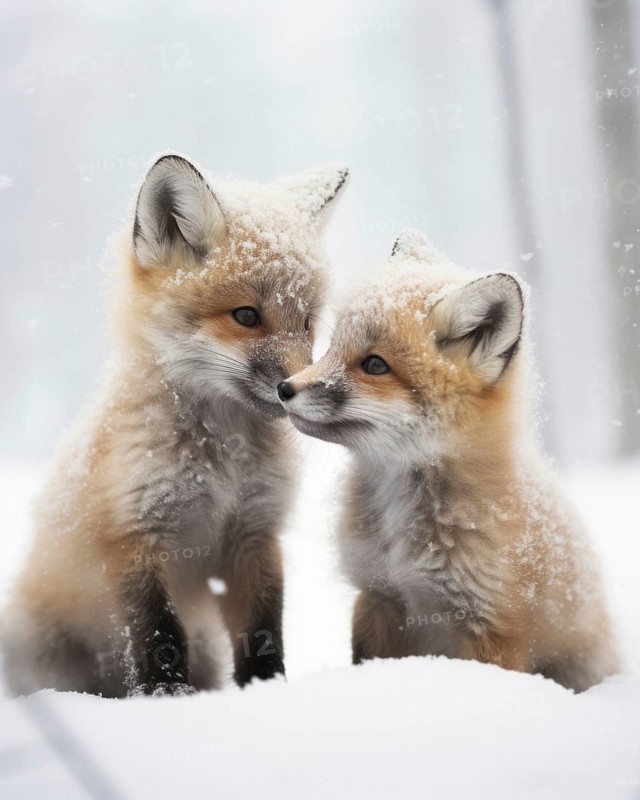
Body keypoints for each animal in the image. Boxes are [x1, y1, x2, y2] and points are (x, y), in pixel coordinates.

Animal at [2, 153, 348, 697]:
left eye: (308, 323)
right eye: (246, 316)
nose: (293, 389)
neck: (224, 464)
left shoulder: (253, 532)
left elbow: (263, 631)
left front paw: (265, 692)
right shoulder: (136, 533)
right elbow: (159, 635)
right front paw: (168, 700)